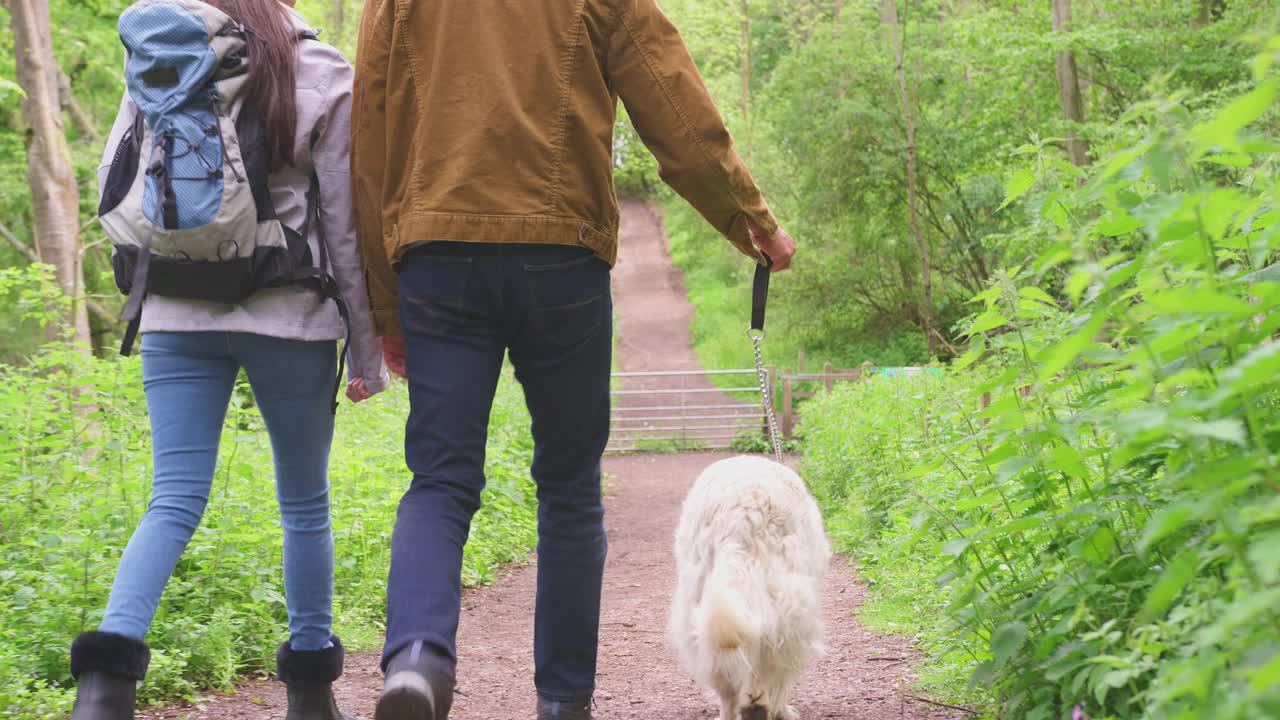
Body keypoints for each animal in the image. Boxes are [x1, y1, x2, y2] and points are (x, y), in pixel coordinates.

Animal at [670, 453, 829, 717]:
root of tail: (741, 515)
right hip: (790, 608)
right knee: (773, 668)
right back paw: (770, 708)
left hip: (702, 604)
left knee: (726, 682)